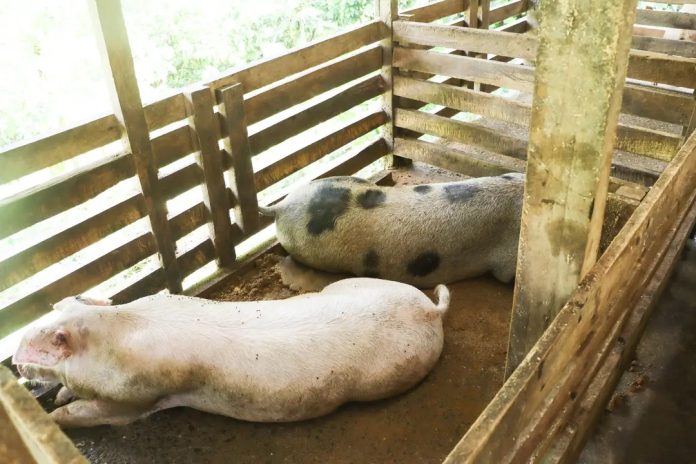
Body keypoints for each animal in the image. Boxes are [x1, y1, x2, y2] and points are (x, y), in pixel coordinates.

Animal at [12, 278, 450, 428]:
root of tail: (430, 310)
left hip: (386, 377)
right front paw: (62, 395)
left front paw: (54, 417)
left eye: (37, 341)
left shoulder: (135, 396)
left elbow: (96, 414)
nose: (14, 361)